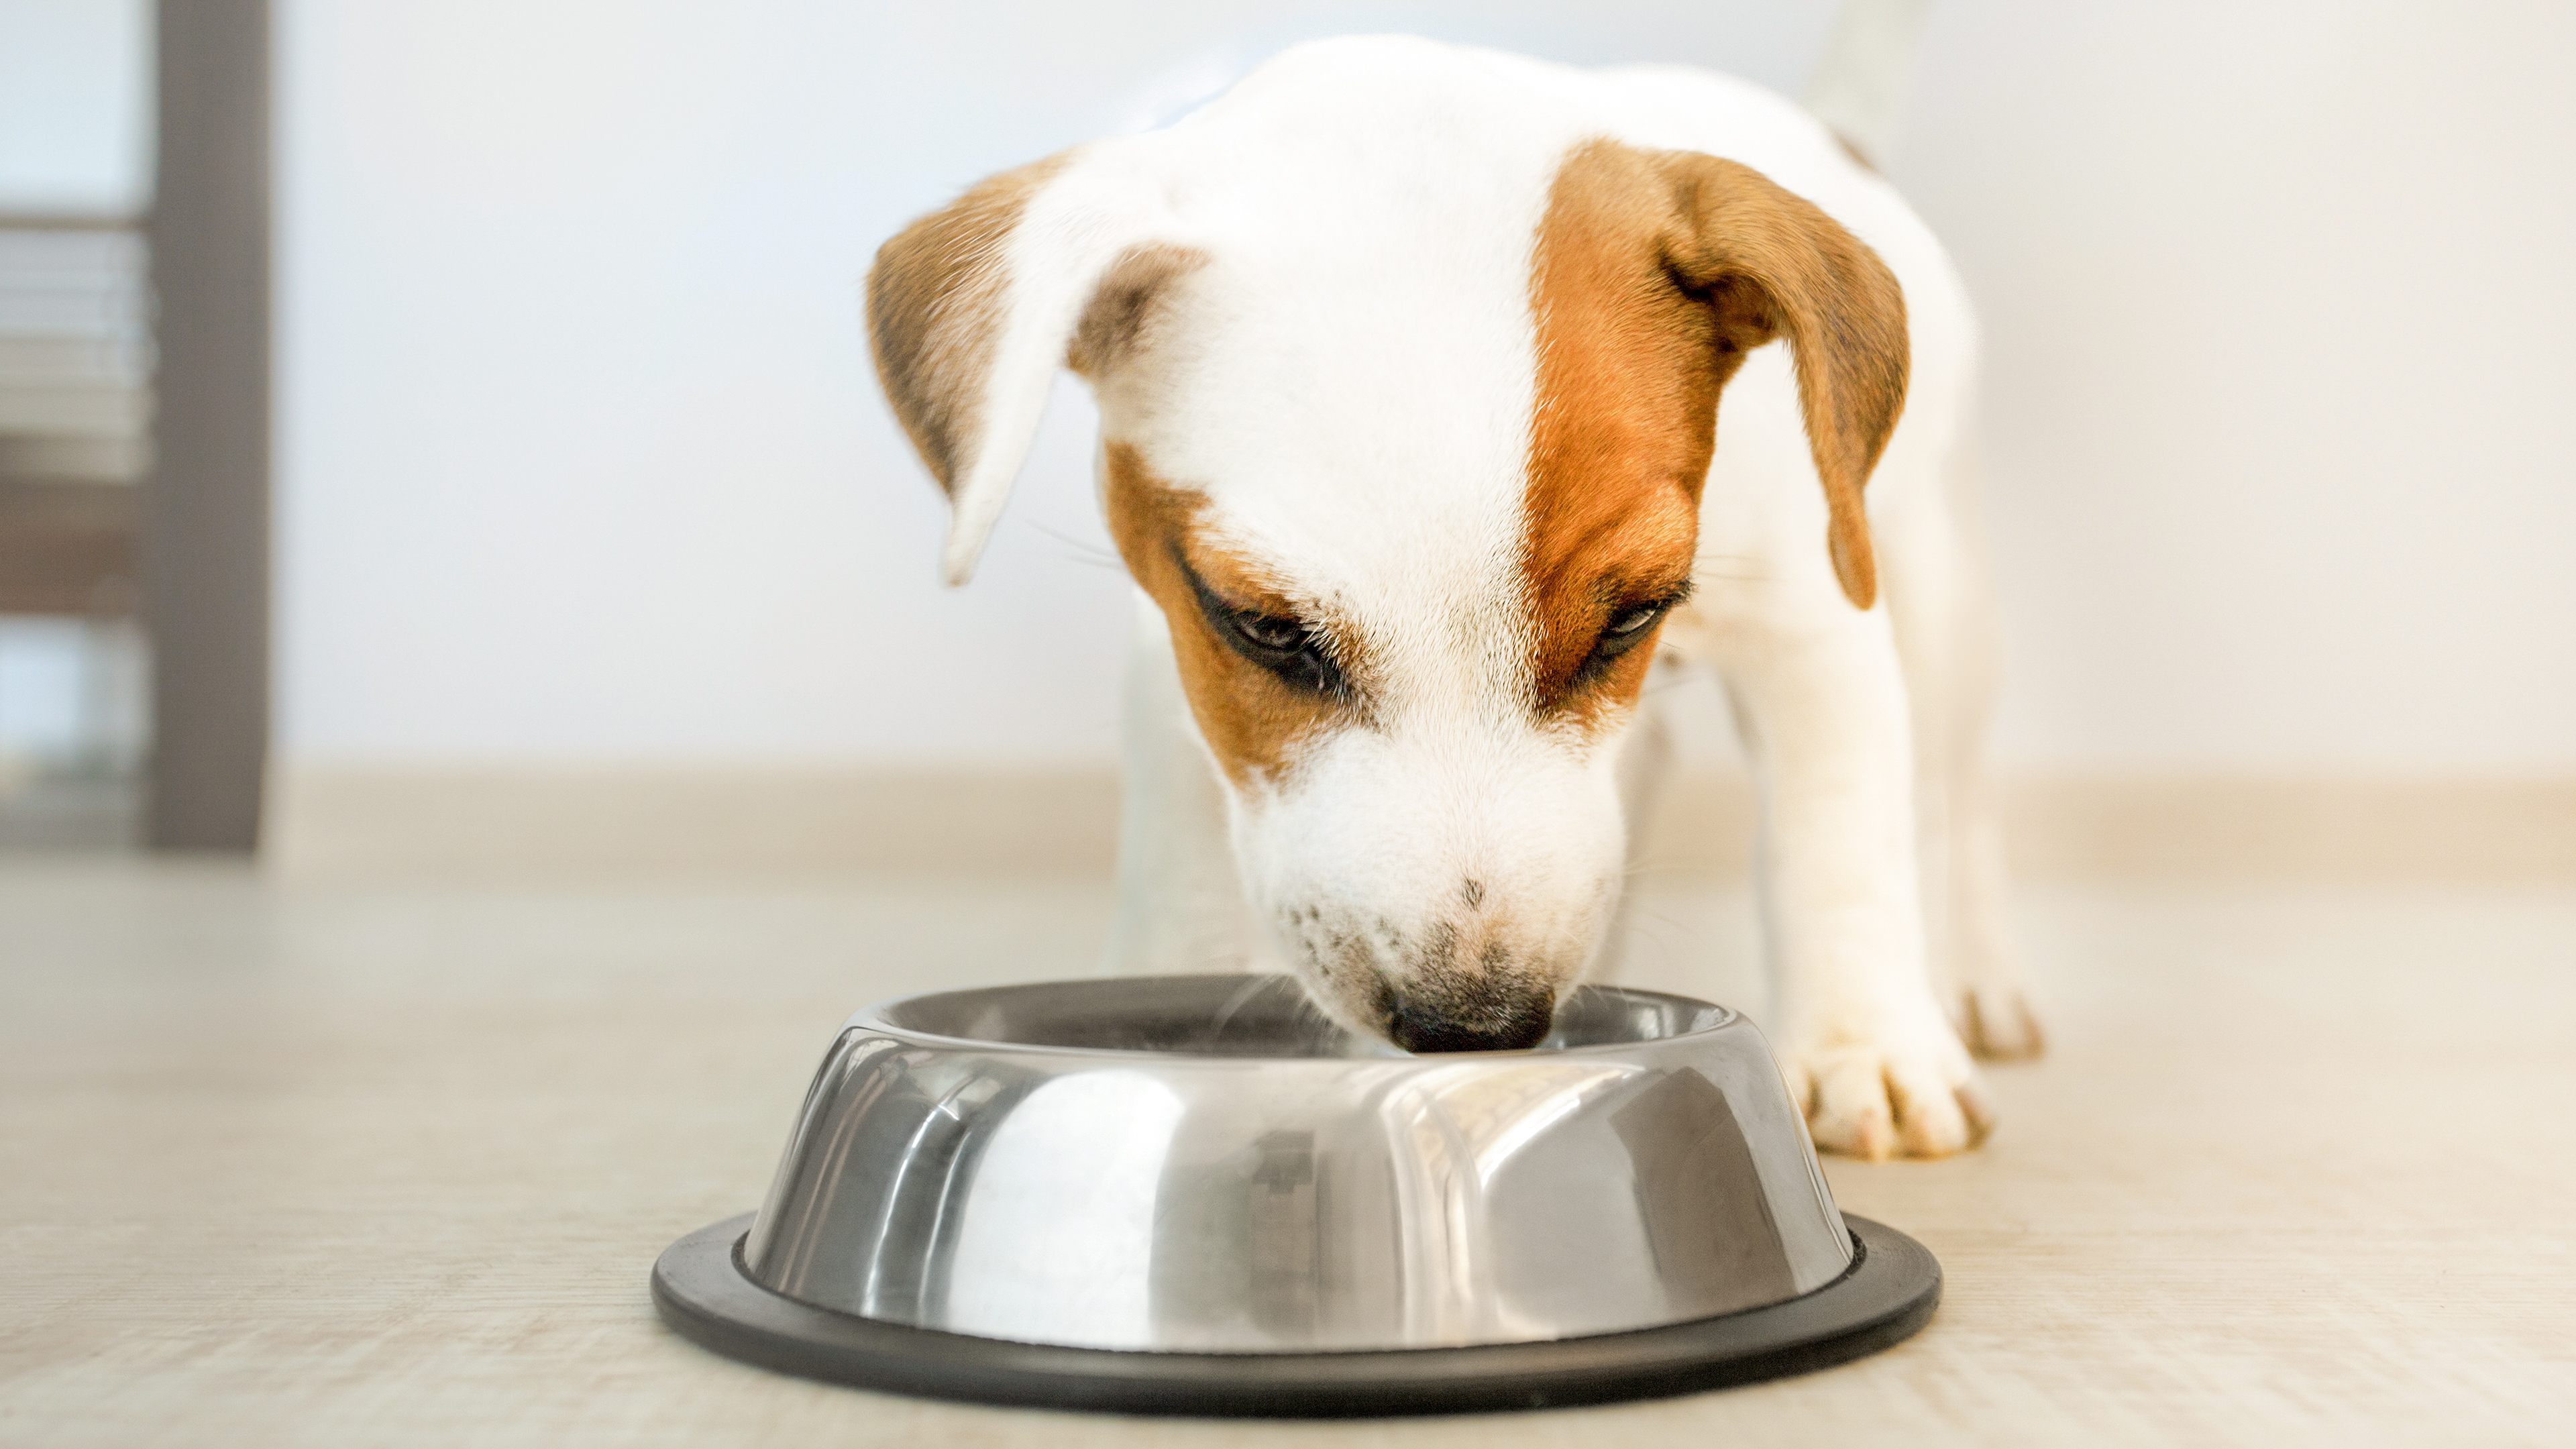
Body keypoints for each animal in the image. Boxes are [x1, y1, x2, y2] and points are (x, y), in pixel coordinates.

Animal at [865, 34, 2029, 1155]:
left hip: (1943, 599)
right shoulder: (1178, 653)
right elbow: (1183, 863)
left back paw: (1975, 983)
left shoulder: (1810, 620)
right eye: (1268, 631)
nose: (1477, 1025)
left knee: (1954, 798)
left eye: (1632, 616)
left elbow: (1837, 834)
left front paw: (1866, 1044)